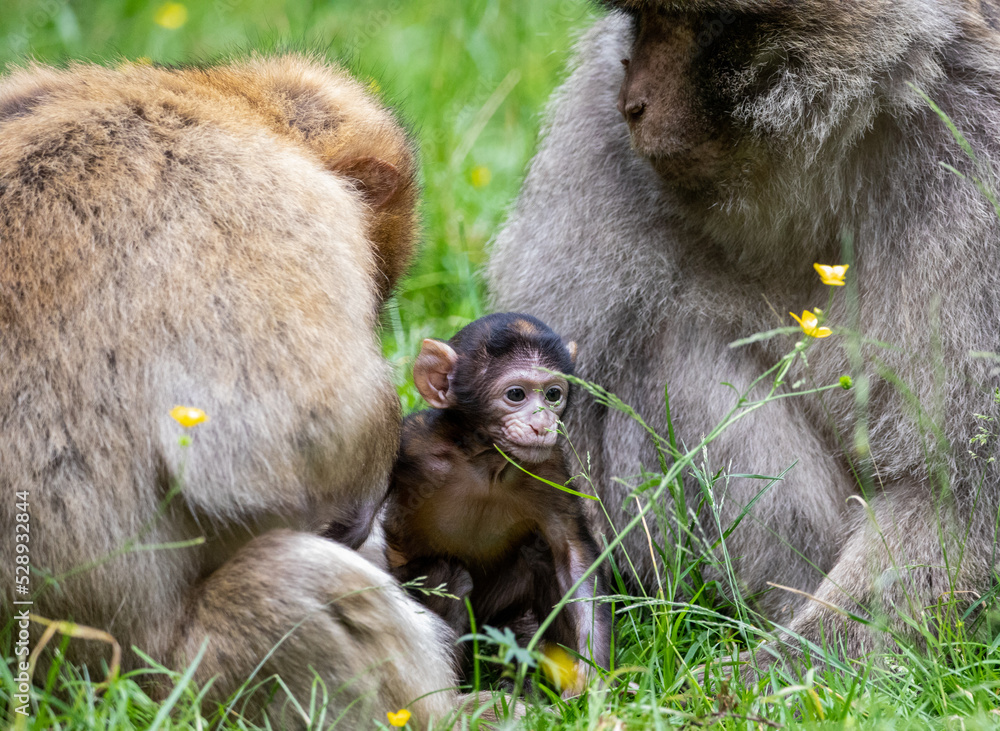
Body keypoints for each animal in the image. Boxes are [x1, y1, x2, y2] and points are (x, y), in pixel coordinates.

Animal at [381, 313, 613, 691]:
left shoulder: (550, 470)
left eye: (553, 394)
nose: (543, 423)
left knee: (539, 557)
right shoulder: (414, 443)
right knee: (449, 575)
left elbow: (573, 556)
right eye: (516, 394)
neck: (487, 463)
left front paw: (591, 679)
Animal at [488, 1, 1000, 673]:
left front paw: (783, 670)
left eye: (691, 26)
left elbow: (956, 496)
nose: (632, 101)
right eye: (640, 20)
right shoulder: (599, 143)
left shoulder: (978, 164)